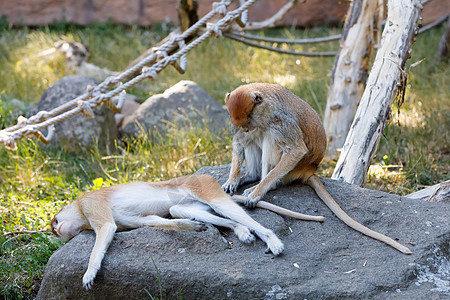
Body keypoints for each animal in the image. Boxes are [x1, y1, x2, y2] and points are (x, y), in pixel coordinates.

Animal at [52, 175, 284, 290]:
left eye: (54, 223)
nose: (56, 230)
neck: (79, 210)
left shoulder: (90, 202)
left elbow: (107, 227)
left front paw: (89, 273)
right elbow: (150, 221)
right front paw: (190, 226)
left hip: (203, 186)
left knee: (222, 205)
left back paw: (271, 239)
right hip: (193, 202)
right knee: (177, 210)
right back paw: (239, 229)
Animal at [221, 82, 412, 255]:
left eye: (249, 118)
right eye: (240, 122)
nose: (246, 128)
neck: (267, 103)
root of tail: (310, 170)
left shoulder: (281, 121)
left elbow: (296, 149)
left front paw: (255, 194)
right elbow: (239, 141)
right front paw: (232, 181)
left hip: (294, 166)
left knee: (269, 136)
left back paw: (263, 184)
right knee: (254, 137)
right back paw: (251, 175)